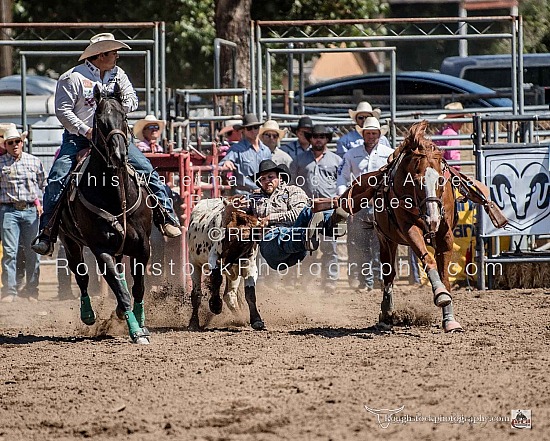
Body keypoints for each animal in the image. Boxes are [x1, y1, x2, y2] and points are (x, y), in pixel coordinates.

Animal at [59, 84, 153, 342]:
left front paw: (140, 322)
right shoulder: (101, 250)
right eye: (100, 122)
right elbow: (121, 291)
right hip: (69, 242)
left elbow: (138, 287)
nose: (119, 155)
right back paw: (88, 314)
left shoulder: (143, 246)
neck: (116, 197)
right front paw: (135, 331)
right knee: (81, 276)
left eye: (124, 117)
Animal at [342, 119, 464, 330]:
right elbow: (428, 260)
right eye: (416, 181)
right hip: (385, 240)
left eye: (441, 180)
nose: (432, 219)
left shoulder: (445, 234)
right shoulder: (409, 230)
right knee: (388, 275)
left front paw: (449, 319)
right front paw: (440, 294)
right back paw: (386, 313)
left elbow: (445, 275)